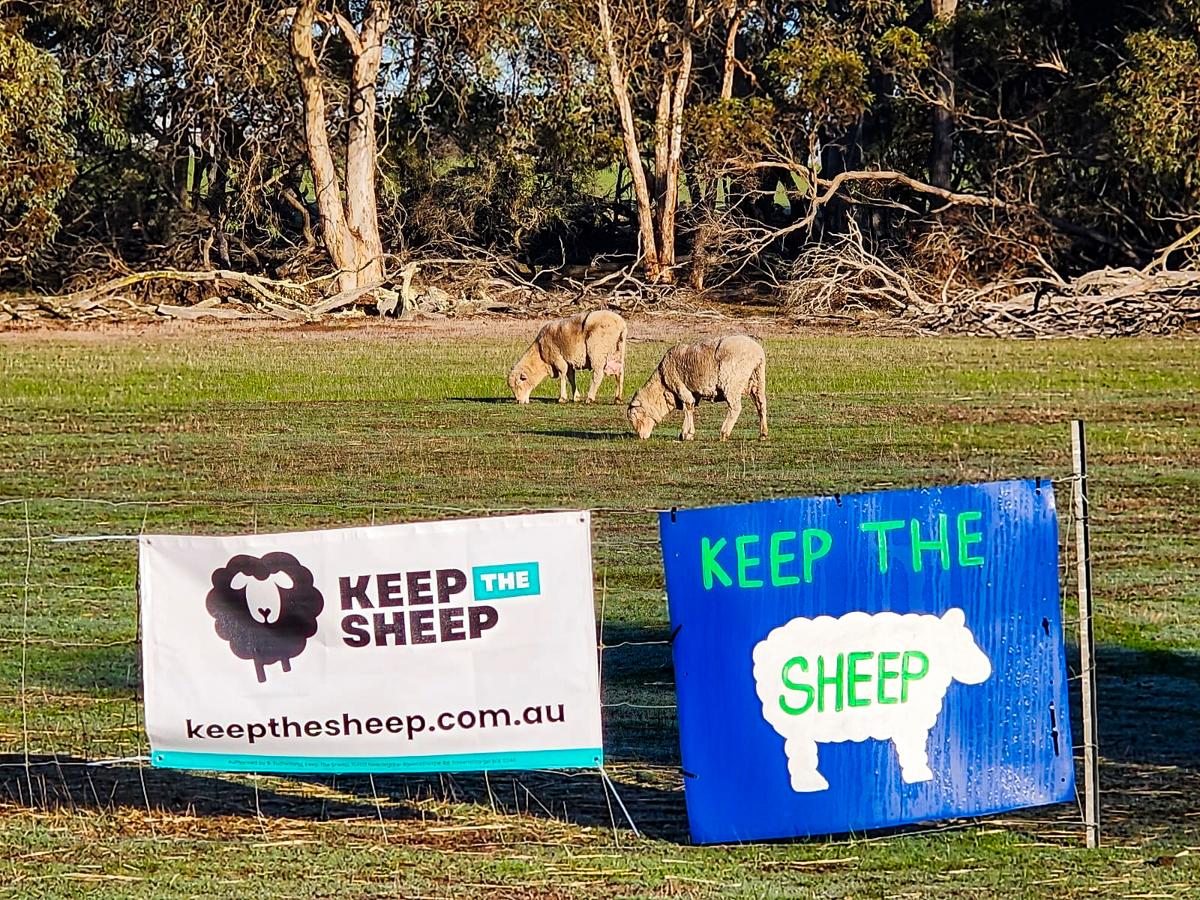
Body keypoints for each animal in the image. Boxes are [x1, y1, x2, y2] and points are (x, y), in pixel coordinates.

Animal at [626, 334, 767, 441]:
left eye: (634, 416)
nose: (641, 437)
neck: (662, 388)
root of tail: (757, 353)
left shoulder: (681, 388)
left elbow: (688, 406)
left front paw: (687, 434)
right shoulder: (692, 393)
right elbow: (690, 407)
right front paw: (684, 433)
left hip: (731, 382)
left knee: (735, 407)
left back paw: (724, 433)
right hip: (758, 380)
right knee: (761, 404)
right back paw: (763, 434)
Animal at [751, 608, 992, 792]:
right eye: (962, 643)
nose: (986, 669)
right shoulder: (909, 721)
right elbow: (913, 750)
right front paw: (919, 775)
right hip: (797, 722)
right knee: (800, 752)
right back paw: (811, 785)